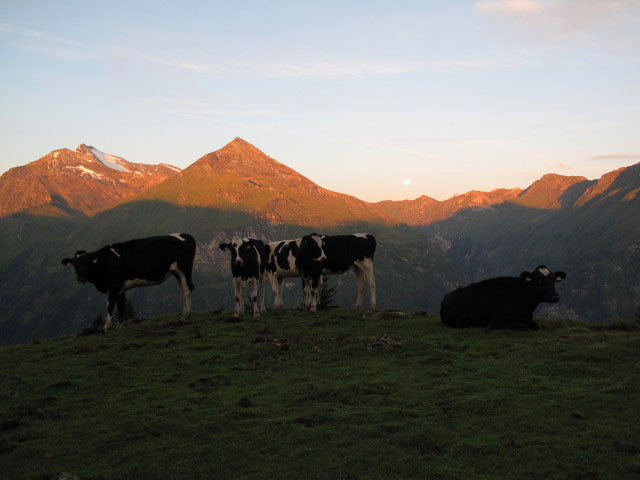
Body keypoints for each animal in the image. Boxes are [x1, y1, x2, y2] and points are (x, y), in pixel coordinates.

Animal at [63, 232, 198, 330]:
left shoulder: (113, 286)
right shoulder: (120, 288)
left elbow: (110, 306)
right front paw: (120, 325)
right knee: (183, 292)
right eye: (75, 265)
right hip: (177, 273)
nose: (81, 279)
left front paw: (106, 327)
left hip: (184, 270)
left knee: (187, 291)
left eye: (87, 263)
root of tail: (186, 235)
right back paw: (183, 316)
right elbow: (121, 305)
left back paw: (187, 316)